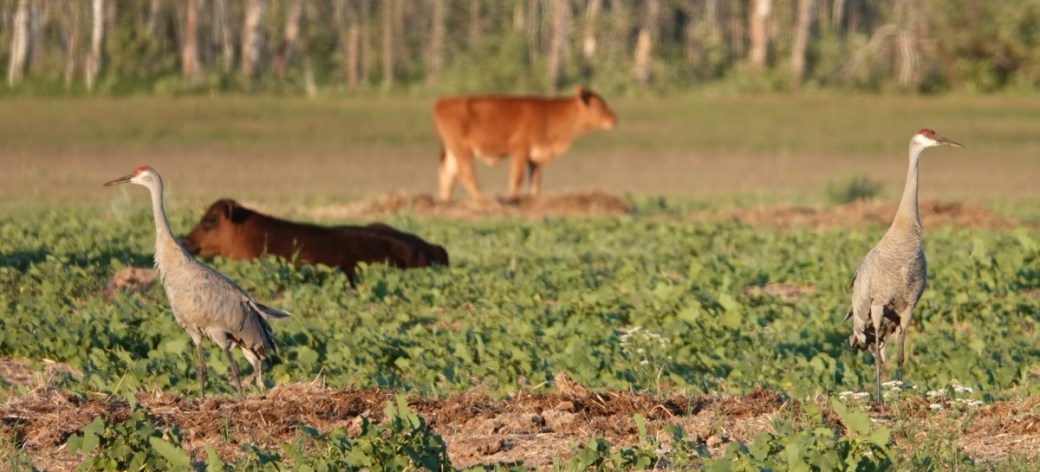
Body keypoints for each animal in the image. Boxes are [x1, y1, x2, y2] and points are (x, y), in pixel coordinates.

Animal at [433, 85, 618, 201]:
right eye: (598, 105)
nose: (613, 118)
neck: (548, 114)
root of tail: (444, 100)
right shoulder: (519, 150)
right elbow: (517, 177)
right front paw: (512, 199)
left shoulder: (535, 156)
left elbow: (535, 180)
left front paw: (533, 199)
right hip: (461, 149)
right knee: (465, 172)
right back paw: (483, 198)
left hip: (452, 150)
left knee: (448, 173)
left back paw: (444, 201)